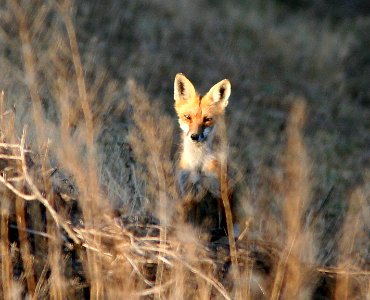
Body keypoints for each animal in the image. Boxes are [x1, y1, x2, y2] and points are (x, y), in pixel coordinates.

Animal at [173, 72, 231, 230]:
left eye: (207, 119)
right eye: (187, 117)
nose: (194, 136)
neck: (197, 165)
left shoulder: (217, 191)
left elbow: (221, 222)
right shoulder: (187, 191)